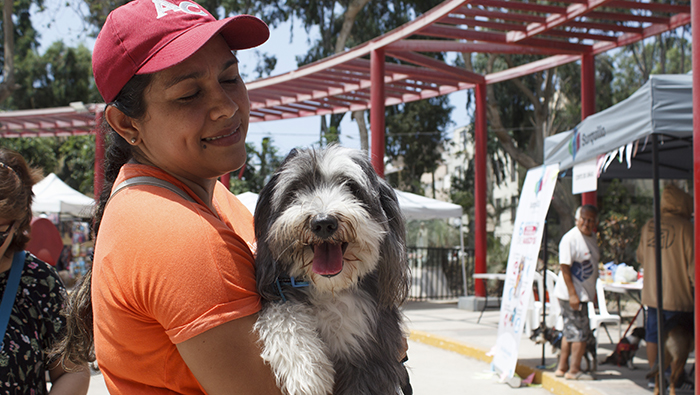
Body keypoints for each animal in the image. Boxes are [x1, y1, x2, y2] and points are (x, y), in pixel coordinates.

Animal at [252, 146, 410, 395]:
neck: (329, 289)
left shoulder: (372, 358)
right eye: (296, 189)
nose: (323, 222)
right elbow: (283, 314)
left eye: (351, 187)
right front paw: (307, 372)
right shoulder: (277, 292)